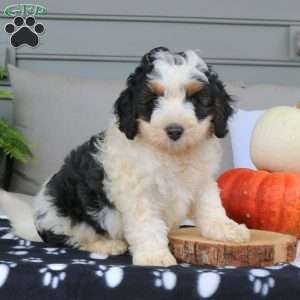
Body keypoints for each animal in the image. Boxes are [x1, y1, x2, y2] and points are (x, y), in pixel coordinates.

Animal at [11, 47, 250, 268]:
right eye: (153, 100)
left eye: (196, 99)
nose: (174, 130)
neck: (171, 153)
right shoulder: (139, 193)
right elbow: (147, 224)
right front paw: (154, 256)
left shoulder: (201, 182)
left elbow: (211, 207)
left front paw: (228, 229)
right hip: (65, 213)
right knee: (74, 237)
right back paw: (108, 244)